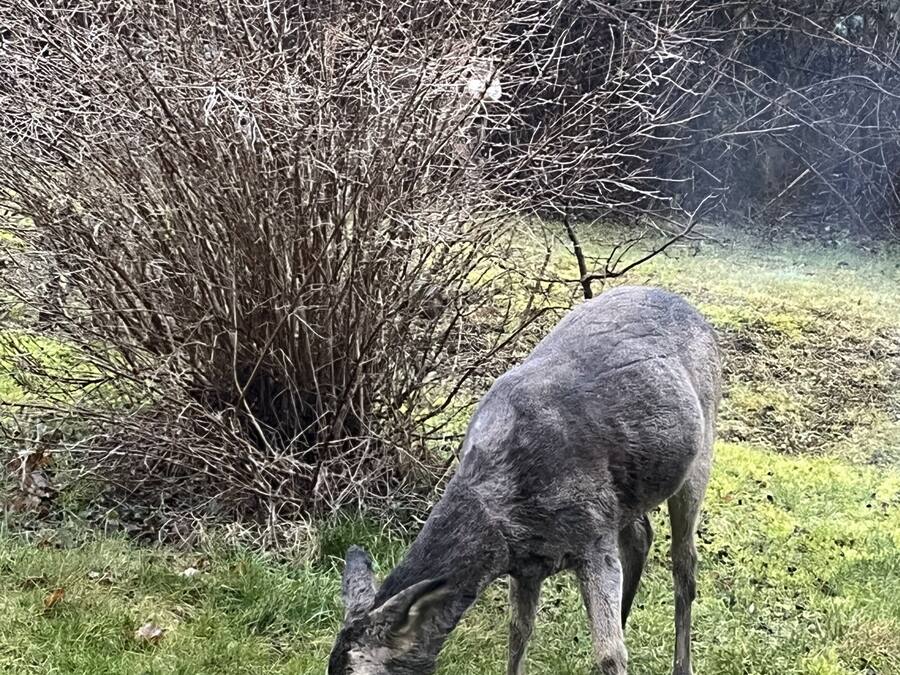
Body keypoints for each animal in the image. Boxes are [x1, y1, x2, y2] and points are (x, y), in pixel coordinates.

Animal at [328, 285, 722, 675]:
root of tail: (693, 310)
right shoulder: (527, 565)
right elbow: (518, 632)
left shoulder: (594, 534)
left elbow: (610, 653)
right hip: (629, 491)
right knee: (641, 536)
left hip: (701, 452)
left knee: (684, 564)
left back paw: (682, 664)